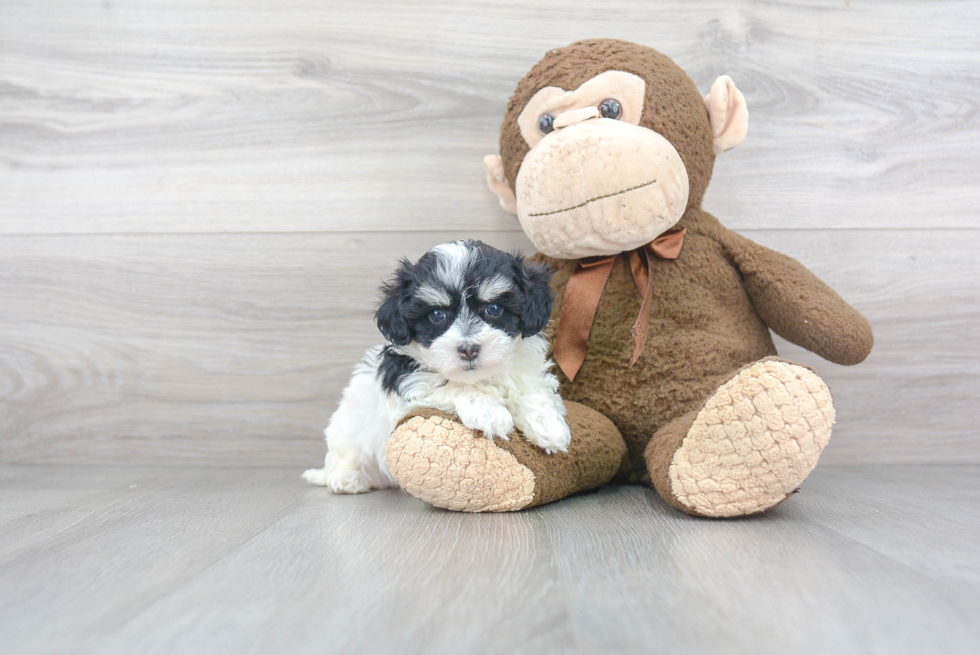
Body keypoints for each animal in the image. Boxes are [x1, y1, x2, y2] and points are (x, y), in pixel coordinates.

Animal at [302, 238, 572, 494]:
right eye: (436, 314)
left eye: (494, 308)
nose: (468, 349)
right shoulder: (410, 383)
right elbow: (452, 385)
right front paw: (488, 412)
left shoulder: (526, 368)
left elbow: (529, 389)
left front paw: (548, 425)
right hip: (347, 430)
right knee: (346, 457)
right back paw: (347, 479)